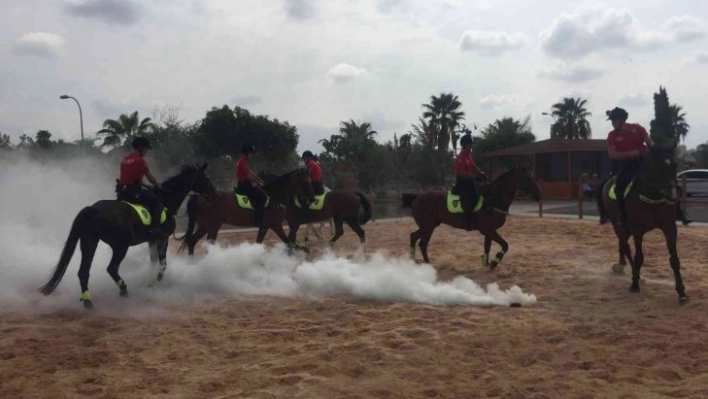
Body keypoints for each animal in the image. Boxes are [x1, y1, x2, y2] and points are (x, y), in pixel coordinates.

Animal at [38, 162, 216, 310]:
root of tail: (92, 209)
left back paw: (88, 301)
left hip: (89, 242)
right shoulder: (162, 238)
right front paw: (154, 283)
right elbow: (163, 264)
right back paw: (123, 290)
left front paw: (149, 283)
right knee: (111, 268)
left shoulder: (151, 241)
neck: (166, 200)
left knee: (83, 271)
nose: (214, 193)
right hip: (120, 246)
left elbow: (153, 263)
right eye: (206, 178)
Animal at [176, 169, 314, 256]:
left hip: (204, 226)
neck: (273, 197)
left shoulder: (265, 226)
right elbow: (287, 242)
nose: (312, 198)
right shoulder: (275, 225)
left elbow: (260, 242)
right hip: (213, 227)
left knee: (192, 241)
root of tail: (199, 196)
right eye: (305, 182)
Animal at [402, 166, 540, 268]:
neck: (491, 199)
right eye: (528, 177)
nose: (538, 195)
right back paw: (424, 263)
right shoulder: (488, 230)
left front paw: (486, 263)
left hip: (430, 226)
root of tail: (417, 197)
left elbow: (487, 247)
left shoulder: (489, 231)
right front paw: (494, 262)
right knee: (418, 240)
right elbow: (505, 245)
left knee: (418, 240)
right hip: (428, 226)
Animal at [596, 147, 688, 304]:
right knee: (626, 247)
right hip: (618, 225)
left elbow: (675, 260)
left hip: (626, 229)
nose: (673, 195)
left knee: (622, 245)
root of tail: (608, 180)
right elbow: (639, 256)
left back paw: (622, 266)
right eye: (659, 167)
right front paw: (634, 284)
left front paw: (681, 292)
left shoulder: (670, 228)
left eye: (675, 165)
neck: (652, 196)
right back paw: (634, 275)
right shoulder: (638, 230)